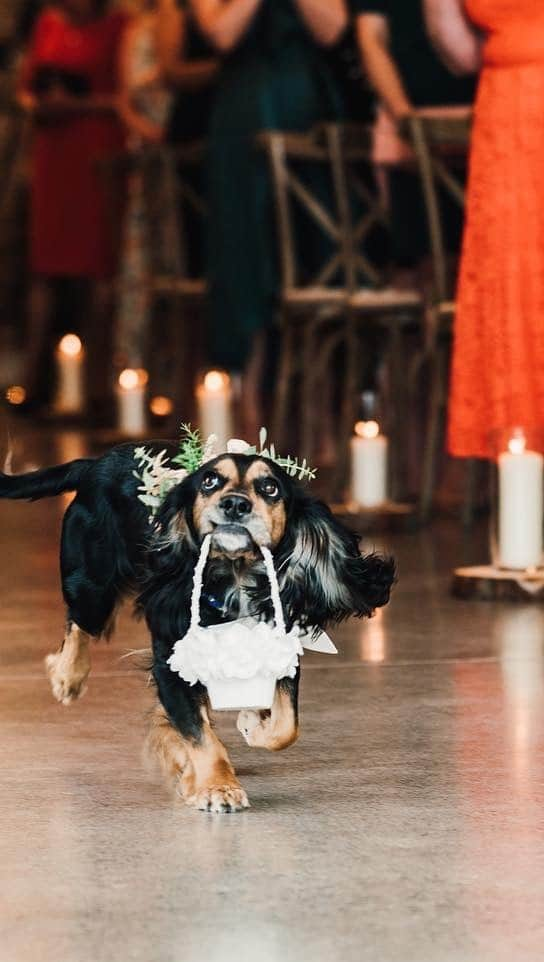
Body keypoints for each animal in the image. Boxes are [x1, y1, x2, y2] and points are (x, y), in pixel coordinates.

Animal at [0, 442, 394, 808]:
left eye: (270, 487)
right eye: (209, 481)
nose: (235, 504)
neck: (235, 575)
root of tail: (97, 462)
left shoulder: (278, 643)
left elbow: (286, 726)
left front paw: (251, 725)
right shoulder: (170, 661)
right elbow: (199, 733)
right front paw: (216, 786)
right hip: (91, 585)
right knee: (79, 625)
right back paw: (68, 677)